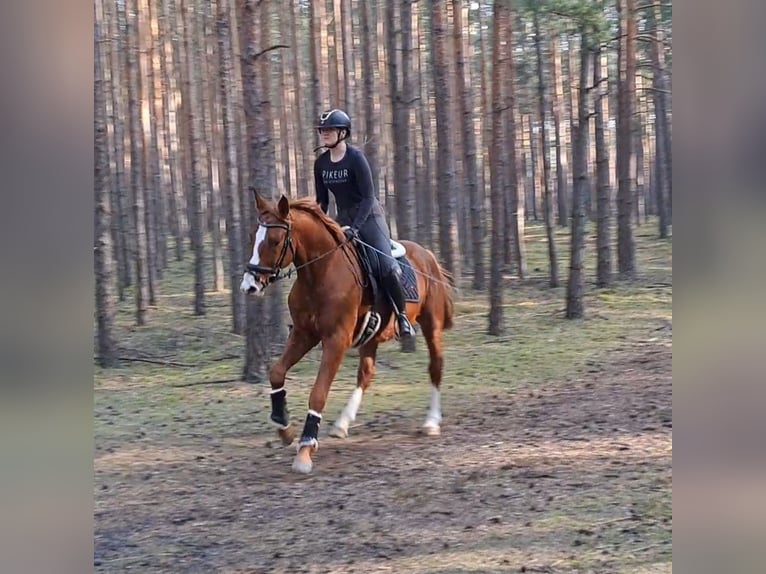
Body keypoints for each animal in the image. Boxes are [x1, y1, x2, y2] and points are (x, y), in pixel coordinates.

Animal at [242, 191, 456, 474]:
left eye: (275, 241)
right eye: (253, 236)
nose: (249, 286)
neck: (320, 272)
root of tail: (428, 255)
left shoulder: (336, 340)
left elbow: (318, 393)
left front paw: (305, 449)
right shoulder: (303, 334)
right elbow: (276, 372)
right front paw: (284, 427)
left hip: (431, 325)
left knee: (436, 366)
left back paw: (431, 422)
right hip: (372, 335)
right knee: (366, 374)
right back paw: (342, 423)